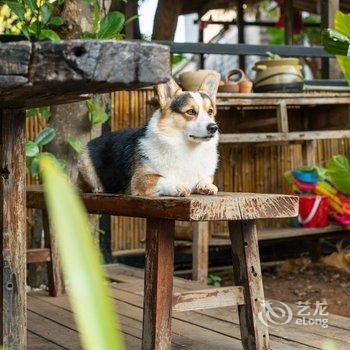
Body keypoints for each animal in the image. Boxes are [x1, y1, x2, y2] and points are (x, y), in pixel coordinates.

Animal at [77, 75, 219, 197]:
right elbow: (162, 178)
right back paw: (98, 188)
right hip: (83, 160)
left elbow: (205, 178)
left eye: (210, 111)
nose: (213, 127)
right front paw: (177, 186)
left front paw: (207, 186)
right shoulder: (141, 179)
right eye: (190, 111)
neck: (187, 148)